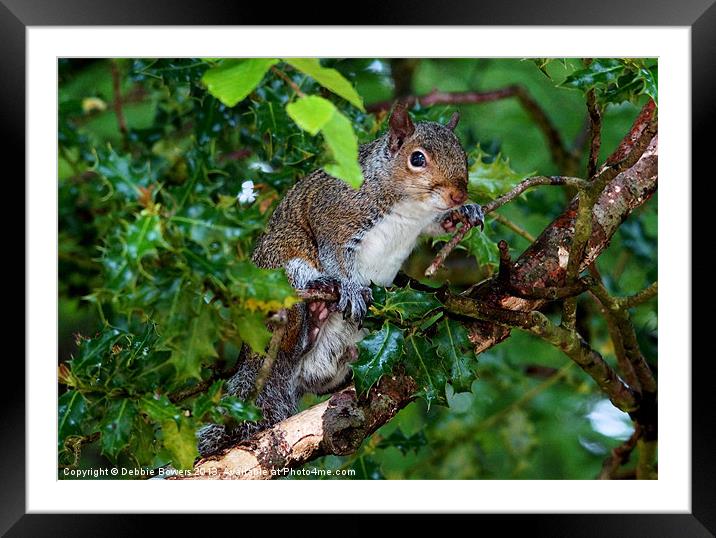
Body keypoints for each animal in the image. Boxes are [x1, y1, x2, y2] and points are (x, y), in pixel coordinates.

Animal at [199, 102, 484, 454]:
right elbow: (335, 255)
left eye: (463, 154)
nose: (459, 195)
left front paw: (466, 212)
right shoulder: (334, 215)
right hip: (281, 279)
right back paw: (314, 313)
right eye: (417, 159)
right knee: (290, 341)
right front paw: (351, 288)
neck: (408, 207)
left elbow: (436, 225)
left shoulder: (422, 222)